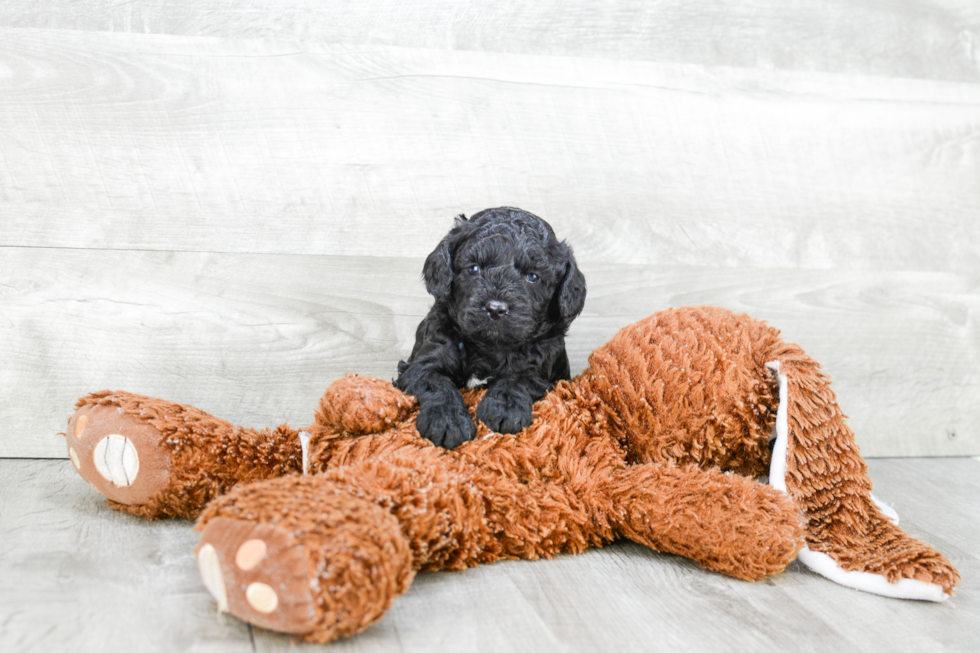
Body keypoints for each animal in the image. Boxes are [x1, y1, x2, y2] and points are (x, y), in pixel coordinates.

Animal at [394, 208, 584, 448]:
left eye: (532, 277)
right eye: (474, 268)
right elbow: (437, 383)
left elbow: (518, 379)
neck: (491, 346)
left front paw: (504, 410)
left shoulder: (544, 369)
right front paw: (447, 422)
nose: (495, 308)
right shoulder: (422, 361)